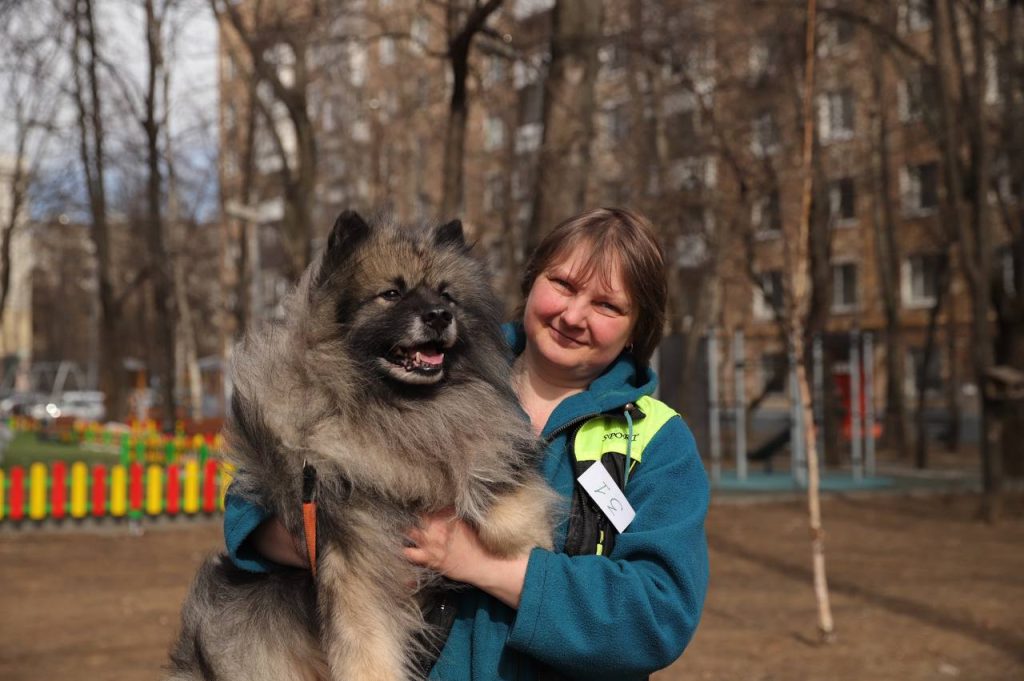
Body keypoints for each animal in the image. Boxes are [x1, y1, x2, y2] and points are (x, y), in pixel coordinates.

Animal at [172, 209, 565, 675]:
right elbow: (367, 647)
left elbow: (502, 484)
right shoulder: (353, 556)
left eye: (447, 296)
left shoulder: (482, 438)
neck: (398, 409)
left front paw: (530, 543)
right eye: (391, 294)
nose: (438, 316)